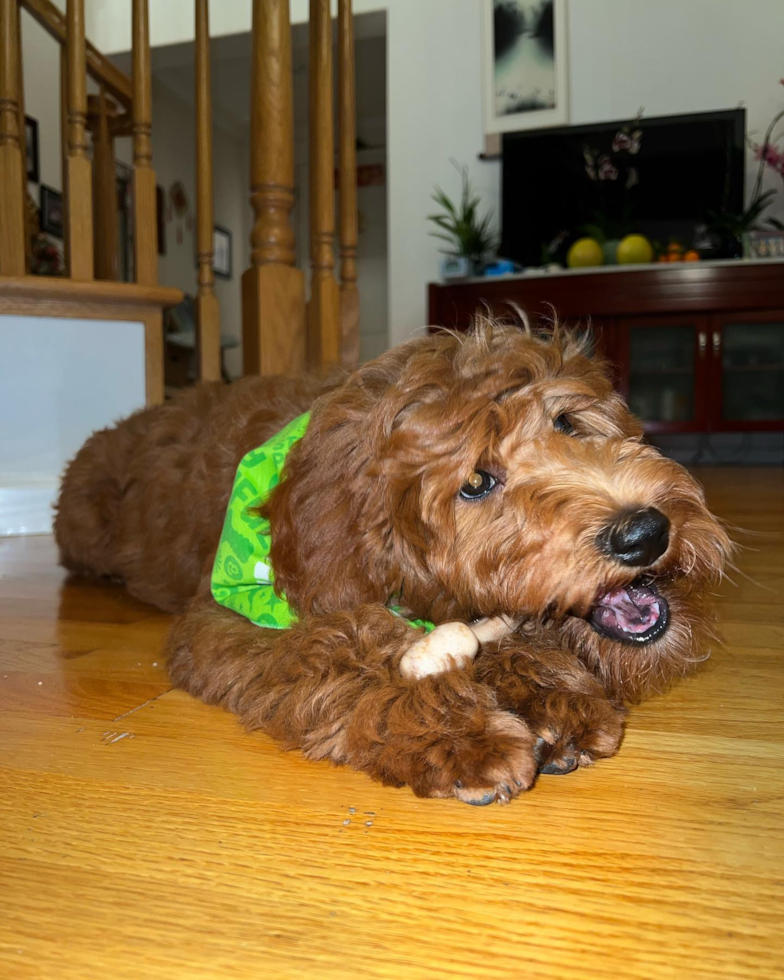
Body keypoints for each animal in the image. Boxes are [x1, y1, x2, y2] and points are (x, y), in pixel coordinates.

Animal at [53, 322, 728, 804]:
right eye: (475, 482)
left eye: (567, 422)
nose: (644, 533)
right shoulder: (231, 616)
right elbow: (331, 653)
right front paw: (456, 730)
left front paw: (549, 691)